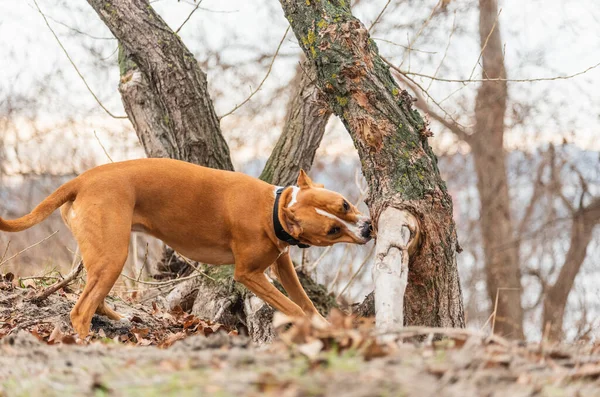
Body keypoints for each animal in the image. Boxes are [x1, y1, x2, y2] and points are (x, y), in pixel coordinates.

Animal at [0, 158, 372, 334]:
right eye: (333, 229)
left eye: (344, 204)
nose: (368, 228)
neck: (276, 209)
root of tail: (81, 179)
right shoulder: (250, 275)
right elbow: (291, 306)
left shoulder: (282, 264)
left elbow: (305, 301)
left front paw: (323, 324)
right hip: (114, 254)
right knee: (80, 310)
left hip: (105, 255)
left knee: (91, 293)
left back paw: (113, 316)